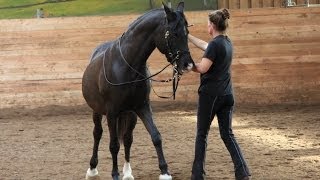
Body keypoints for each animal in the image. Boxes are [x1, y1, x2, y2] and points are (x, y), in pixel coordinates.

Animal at [82, 2, 194, 179]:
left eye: (187, 33)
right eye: (174, 34)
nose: (187, 65)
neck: (127, 65)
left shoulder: (142, 107)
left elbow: (155, 136)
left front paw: (164, 171)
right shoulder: (112, 113)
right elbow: (113, 145)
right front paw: (115, 174)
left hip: (130, 114)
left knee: (127, 138)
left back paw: (128, 172)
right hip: (97, 111)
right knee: (97, 133)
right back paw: (92, 169)